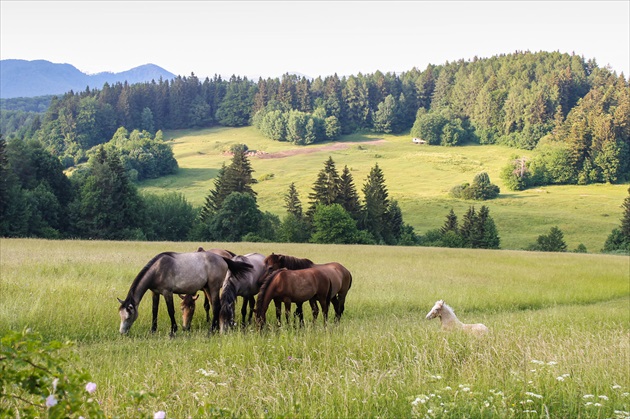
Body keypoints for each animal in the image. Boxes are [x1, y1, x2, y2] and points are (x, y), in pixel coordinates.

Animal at [117, 251, 251, 336]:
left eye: (128, 316)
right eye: (120, 315)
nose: (122, 333)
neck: (158, 269)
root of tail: (223, 259)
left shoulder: (167, 292)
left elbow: (171, 311)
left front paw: (173, 330)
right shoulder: (155, 293)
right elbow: (154, 310)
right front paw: (153, 330)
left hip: (213, 288)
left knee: (216, 306)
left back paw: (211, 330)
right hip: (208, 288)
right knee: (215, 306)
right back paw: (216, 328)